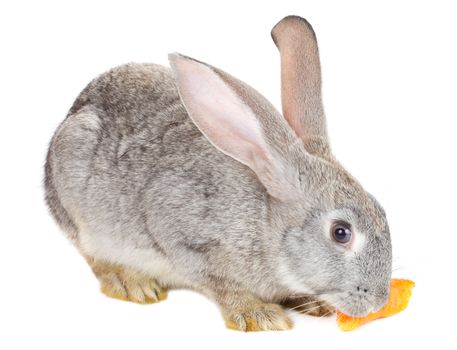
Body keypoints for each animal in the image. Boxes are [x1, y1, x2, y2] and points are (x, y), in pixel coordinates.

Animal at [43, 15, 392, 332]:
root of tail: (73, 112)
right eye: (341, 232)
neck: (265, 225)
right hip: (78, 200)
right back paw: (131, 283)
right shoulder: (181, 232)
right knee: (93, 256)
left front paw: (313, 304)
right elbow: (220, 283)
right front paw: (259, 315)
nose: (379, 301)